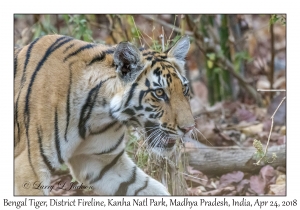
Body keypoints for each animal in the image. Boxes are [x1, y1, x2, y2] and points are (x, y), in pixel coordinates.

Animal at [14, 34, 195, 195]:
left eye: (184, 89)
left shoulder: (101, 162)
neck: (97, 115)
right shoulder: (29, 167)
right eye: (159, 92)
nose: (189, 128)